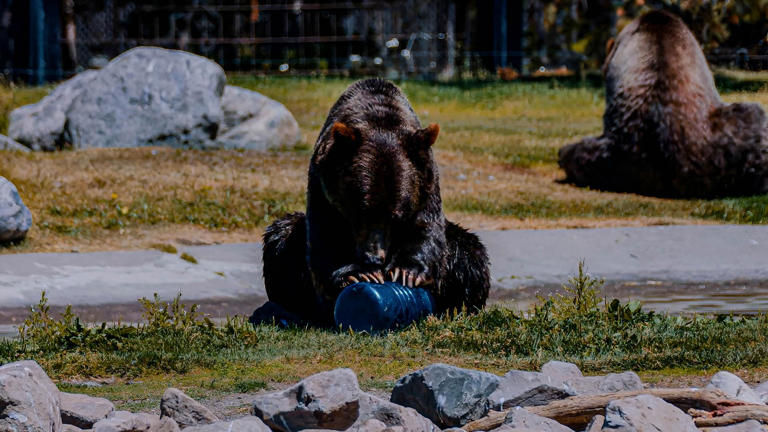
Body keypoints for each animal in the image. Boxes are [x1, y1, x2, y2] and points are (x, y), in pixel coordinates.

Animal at [257, 78, 490, 326]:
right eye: (360, 211)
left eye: (396, 216)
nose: (374, 258)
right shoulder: (322, 183)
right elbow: (325, 235)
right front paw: (358, 273)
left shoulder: (426, 180)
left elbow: (427, 228)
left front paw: (407, 272)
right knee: (281, 240)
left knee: (469, 253)